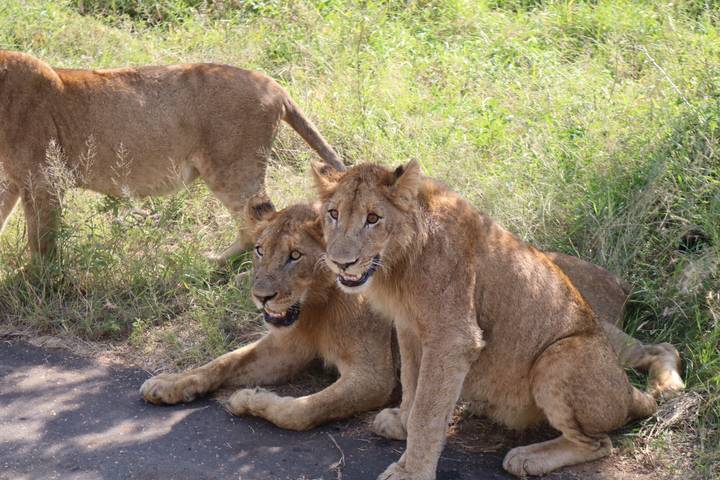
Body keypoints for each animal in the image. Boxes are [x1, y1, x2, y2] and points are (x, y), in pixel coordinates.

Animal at [0, 50, 343, 263]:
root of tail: (275, 86)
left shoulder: (44, 180)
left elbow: (41, 239)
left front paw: (39, 278)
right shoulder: (11, 181)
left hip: (233, 169)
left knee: (258, 219)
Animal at [140, 195, 396, 430]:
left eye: (295, 255)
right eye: (260, 250)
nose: (261, 297)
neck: (318, 306)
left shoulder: (374, 377)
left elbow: (301, 410)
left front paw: (250, 400)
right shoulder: (287, 347)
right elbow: (224, 361)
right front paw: (168, 383)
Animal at [311, 160, 683, 479]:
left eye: (373, 218)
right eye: (333, 214)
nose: (341, 262)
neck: (398, 264)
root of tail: (629, 392)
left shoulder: (452, 338)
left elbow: (427, 412)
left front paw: (410, 472)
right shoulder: (410, 329)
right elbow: (412, 386)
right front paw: (401, 424)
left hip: (559, 356)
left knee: (599, 443)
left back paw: (528, 457)